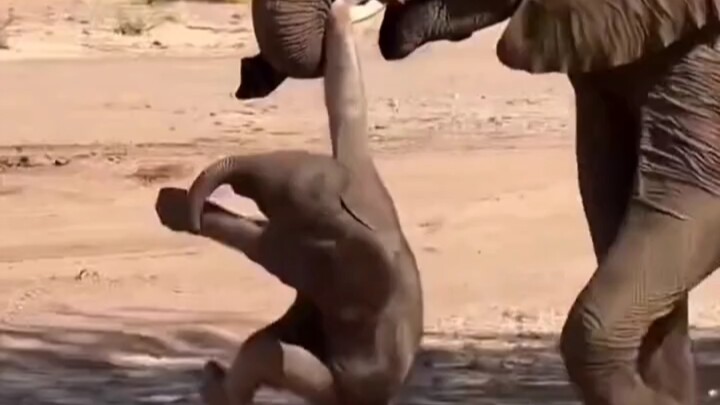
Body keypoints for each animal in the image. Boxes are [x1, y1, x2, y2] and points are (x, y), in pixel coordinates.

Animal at [155, 2, 423, 404]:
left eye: (269, 195)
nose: (192, 205)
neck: (346, 204)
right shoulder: (362, 176)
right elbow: (346, 107)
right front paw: (345, 13)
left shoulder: (320, 254)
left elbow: (258, 245)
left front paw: (170, 208)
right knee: (266, 343)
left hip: (332, 387)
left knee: (268, 352)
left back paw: (214, 384)